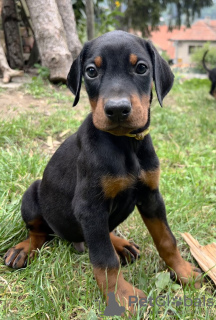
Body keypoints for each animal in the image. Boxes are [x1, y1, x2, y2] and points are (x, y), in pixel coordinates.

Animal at [3, 30, 202, 310]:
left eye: (142, 68)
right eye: (91, 71)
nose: (117, 109)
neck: (124, 144)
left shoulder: (151, 195)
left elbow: (167, 239)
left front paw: (183, 272)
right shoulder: (90, 206)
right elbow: (105, 260)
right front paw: (121, 297)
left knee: (101, 233)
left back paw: (121, 243)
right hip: (32, 194)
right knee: (40, 231)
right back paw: (24, 248)